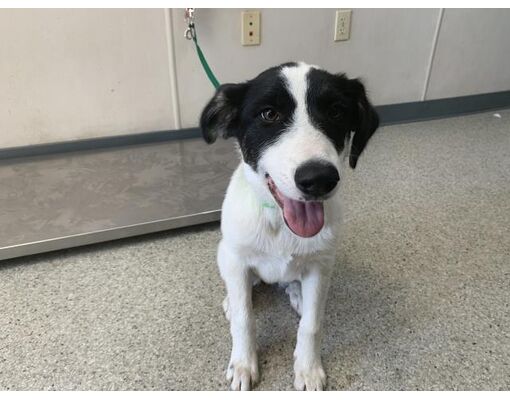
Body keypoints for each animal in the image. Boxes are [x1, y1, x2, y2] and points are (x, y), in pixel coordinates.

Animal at [200, 62, 378, 390]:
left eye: (336, 111)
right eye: (269, 114)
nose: (318, 178)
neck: (279, 224)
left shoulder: (321, 267)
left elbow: (312, 324)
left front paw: (307, 368)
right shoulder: (236, 258)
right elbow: (245, 318)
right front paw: (243, 363)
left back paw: (296, 293)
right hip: (224, 253)